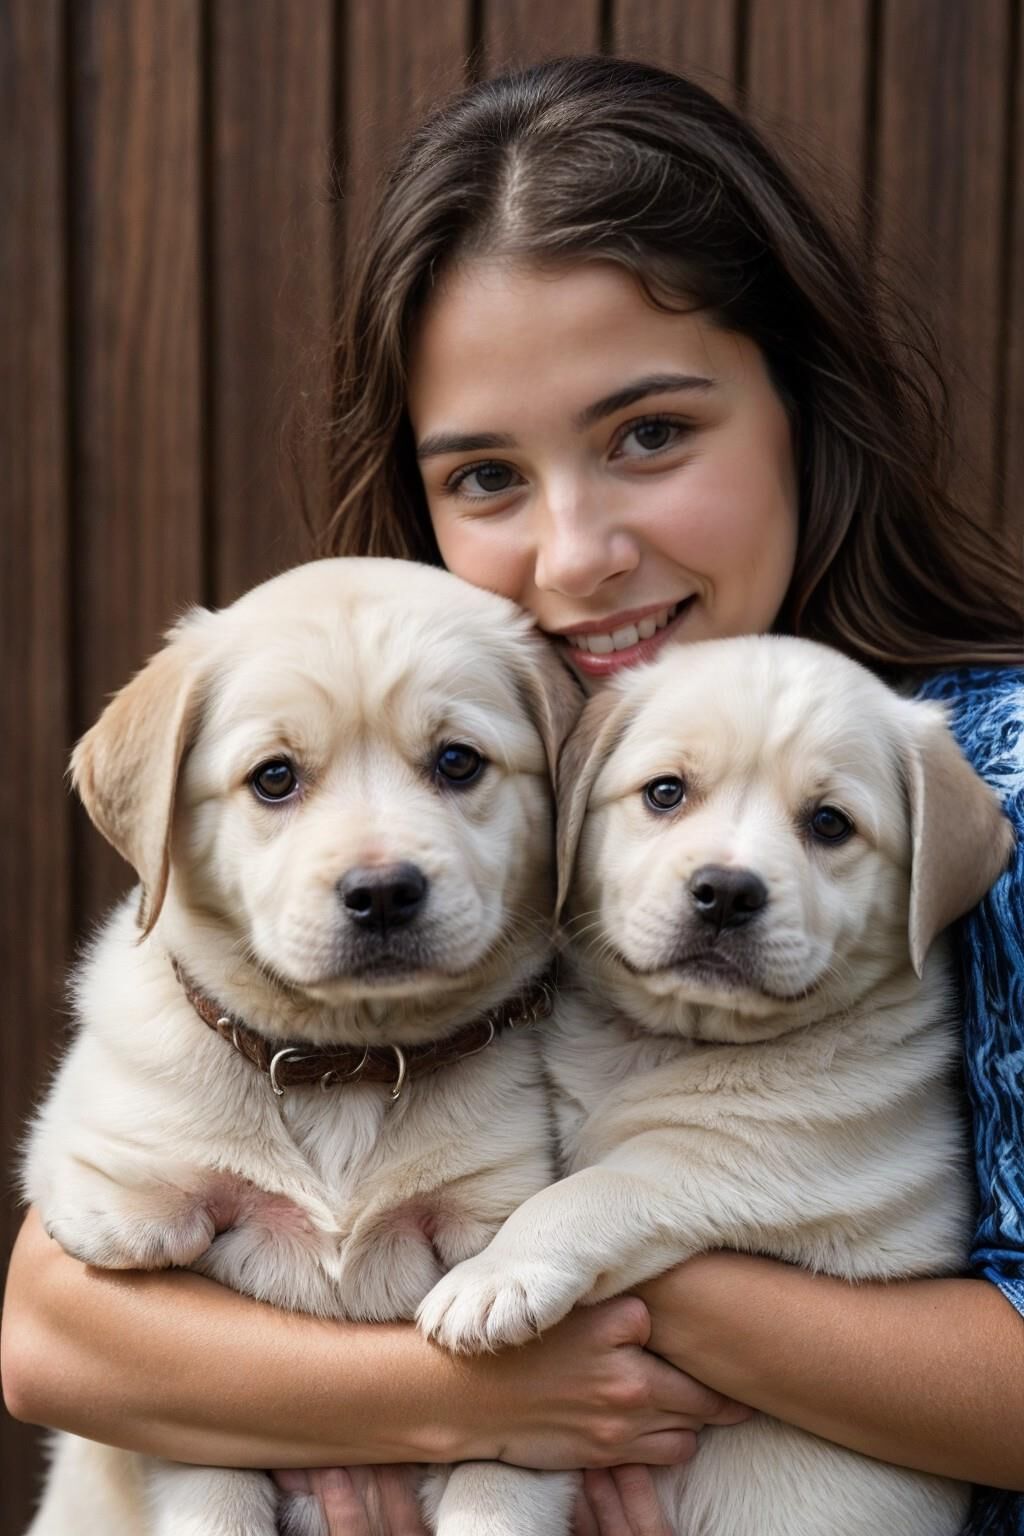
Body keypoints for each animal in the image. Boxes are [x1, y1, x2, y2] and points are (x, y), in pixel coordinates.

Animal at [20, 556, 583, 1536]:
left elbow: (497, 1483)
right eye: (274, 778)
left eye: (458, 762)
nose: (384, 892)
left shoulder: (491, 1205)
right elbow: (129, 1199)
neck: (349, 1065)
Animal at [420, 632, 1013, 1536]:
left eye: (830, 824)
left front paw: (493, 1277)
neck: (667, 1042)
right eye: (666, 792)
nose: (728, 892)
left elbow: (595, 1187)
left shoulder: (749, 1166)